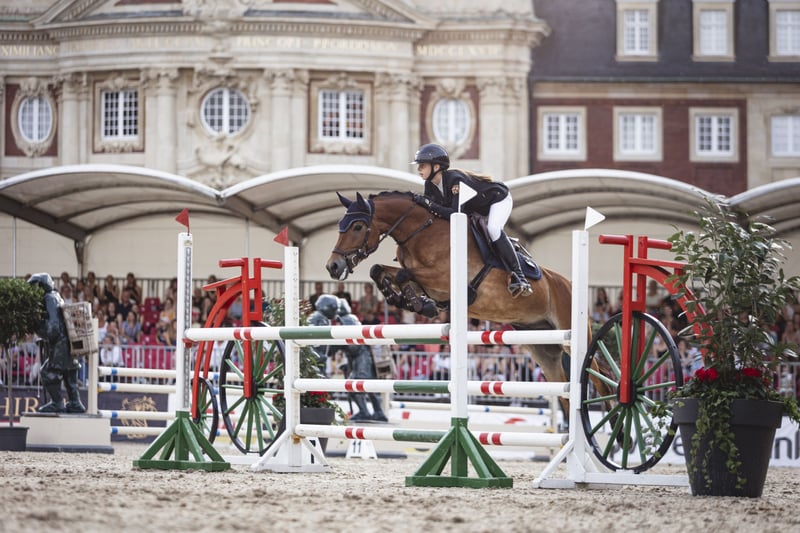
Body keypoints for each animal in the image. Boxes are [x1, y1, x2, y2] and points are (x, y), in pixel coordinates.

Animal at [324, 190, 577, 394]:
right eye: (340, 225)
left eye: (357, 226)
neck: (420, 232)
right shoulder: (426, 281)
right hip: (542, 347)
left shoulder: (444, 278)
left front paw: (420, 304)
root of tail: (569, 284)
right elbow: (380, 269)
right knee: (563, 386)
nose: (333, 266)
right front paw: (405, 299)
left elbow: (402, 274)